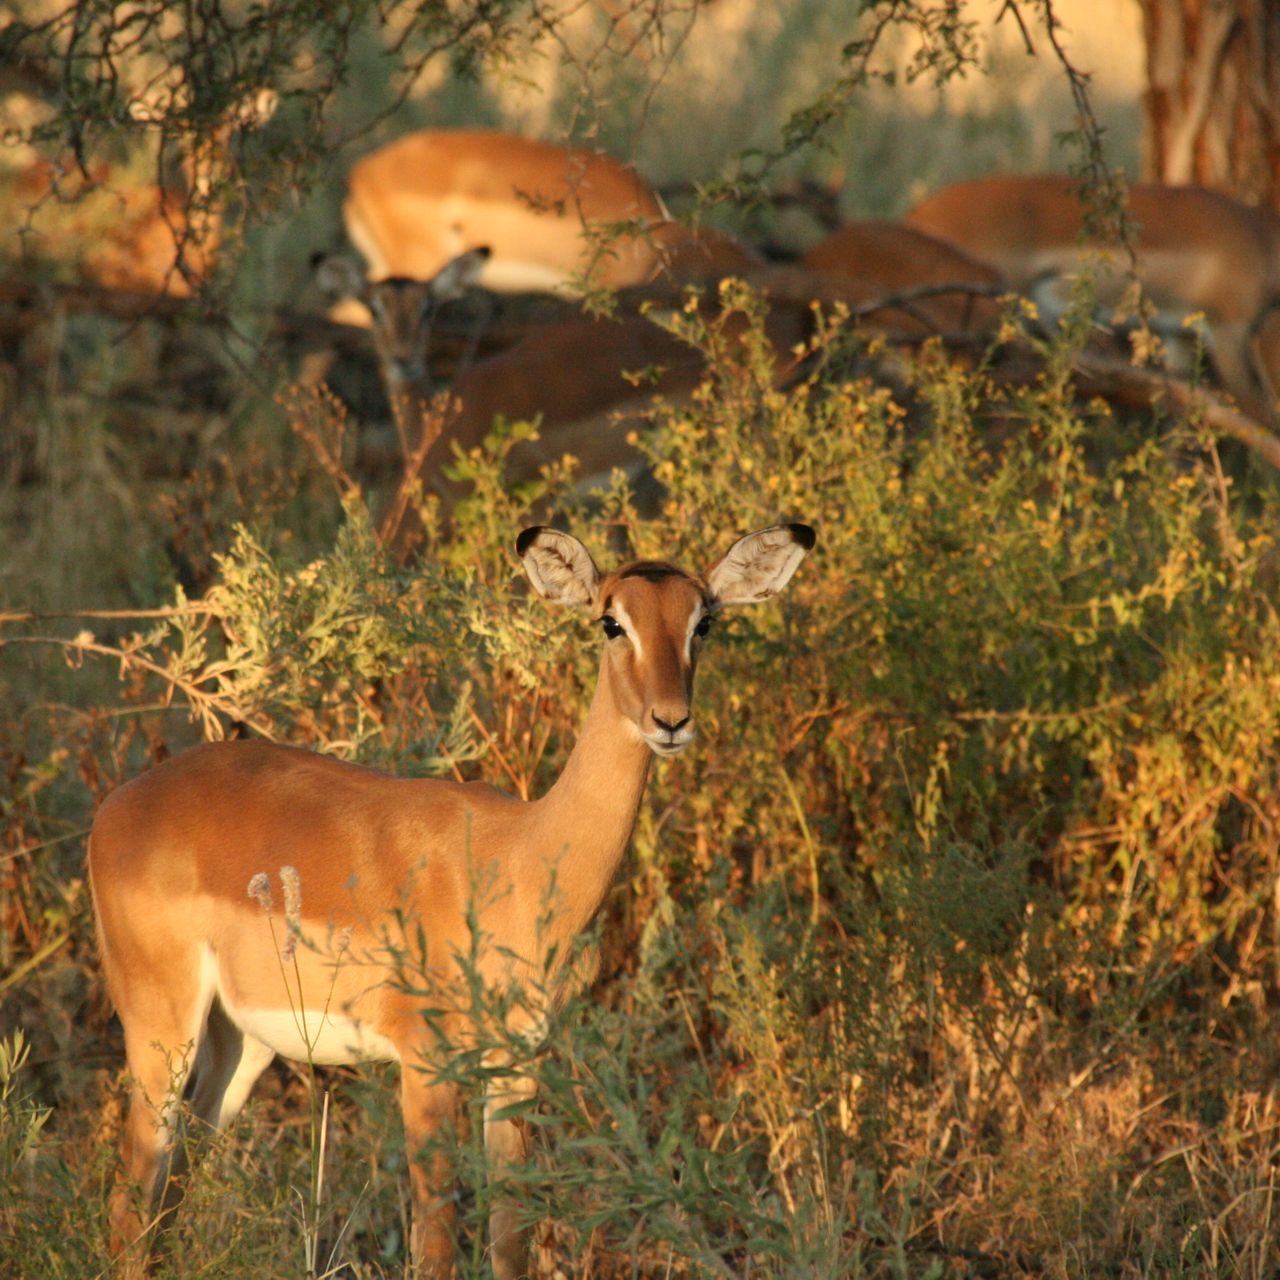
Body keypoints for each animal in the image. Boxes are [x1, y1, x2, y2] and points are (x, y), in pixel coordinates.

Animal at [89, 520, 815, 1278]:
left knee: (172, 1192)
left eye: (704, 622)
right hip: (162, 1032)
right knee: (130, 1203)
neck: (519, 857)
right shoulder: (426, 1068)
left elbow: (509, 1238)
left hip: (240, 1043)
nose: (670, 720)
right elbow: (436, 1243)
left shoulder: (517, 1065)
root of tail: (118, 804)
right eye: (611, 622)